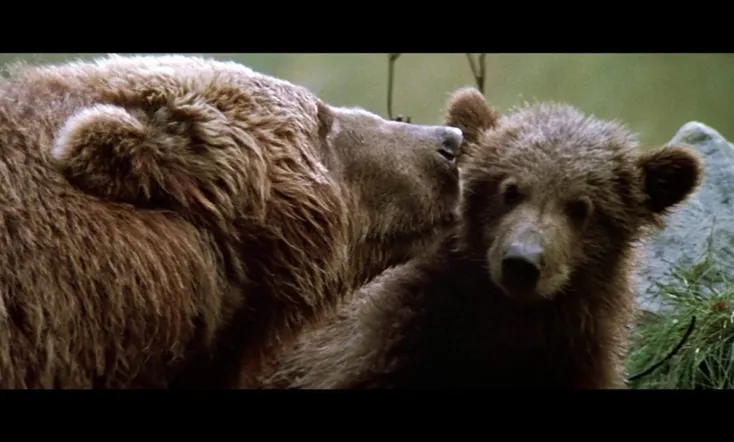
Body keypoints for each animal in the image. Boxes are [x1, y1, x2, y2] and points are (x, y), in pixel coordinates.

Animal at [258, 87, 703, 389]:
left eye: (582, 207)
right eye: (510, 190)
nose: (522, 263)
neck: (506, 324)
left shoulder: (574, 360)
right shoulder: (380, 348)